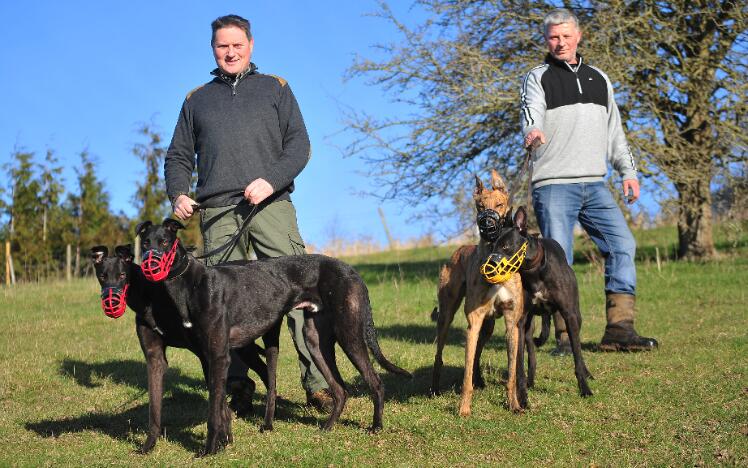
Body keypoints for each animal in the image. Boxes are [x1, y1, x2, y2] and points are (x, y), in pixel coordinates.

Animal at [430, 170, 528, 414]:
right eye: (480, 206)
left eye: (500, 204)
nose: (488, 224)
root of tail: (460, 249)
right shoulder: (473, 321)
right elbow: (465, 376)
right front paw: (464, 409)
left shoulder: (512, 324)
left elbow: (512, 373)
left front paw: (514, 405)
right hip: (447, 315)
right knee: (440, 354)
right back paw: (435, 388)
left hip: (489, 326)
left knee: (477, 355)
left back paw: (480, 380)